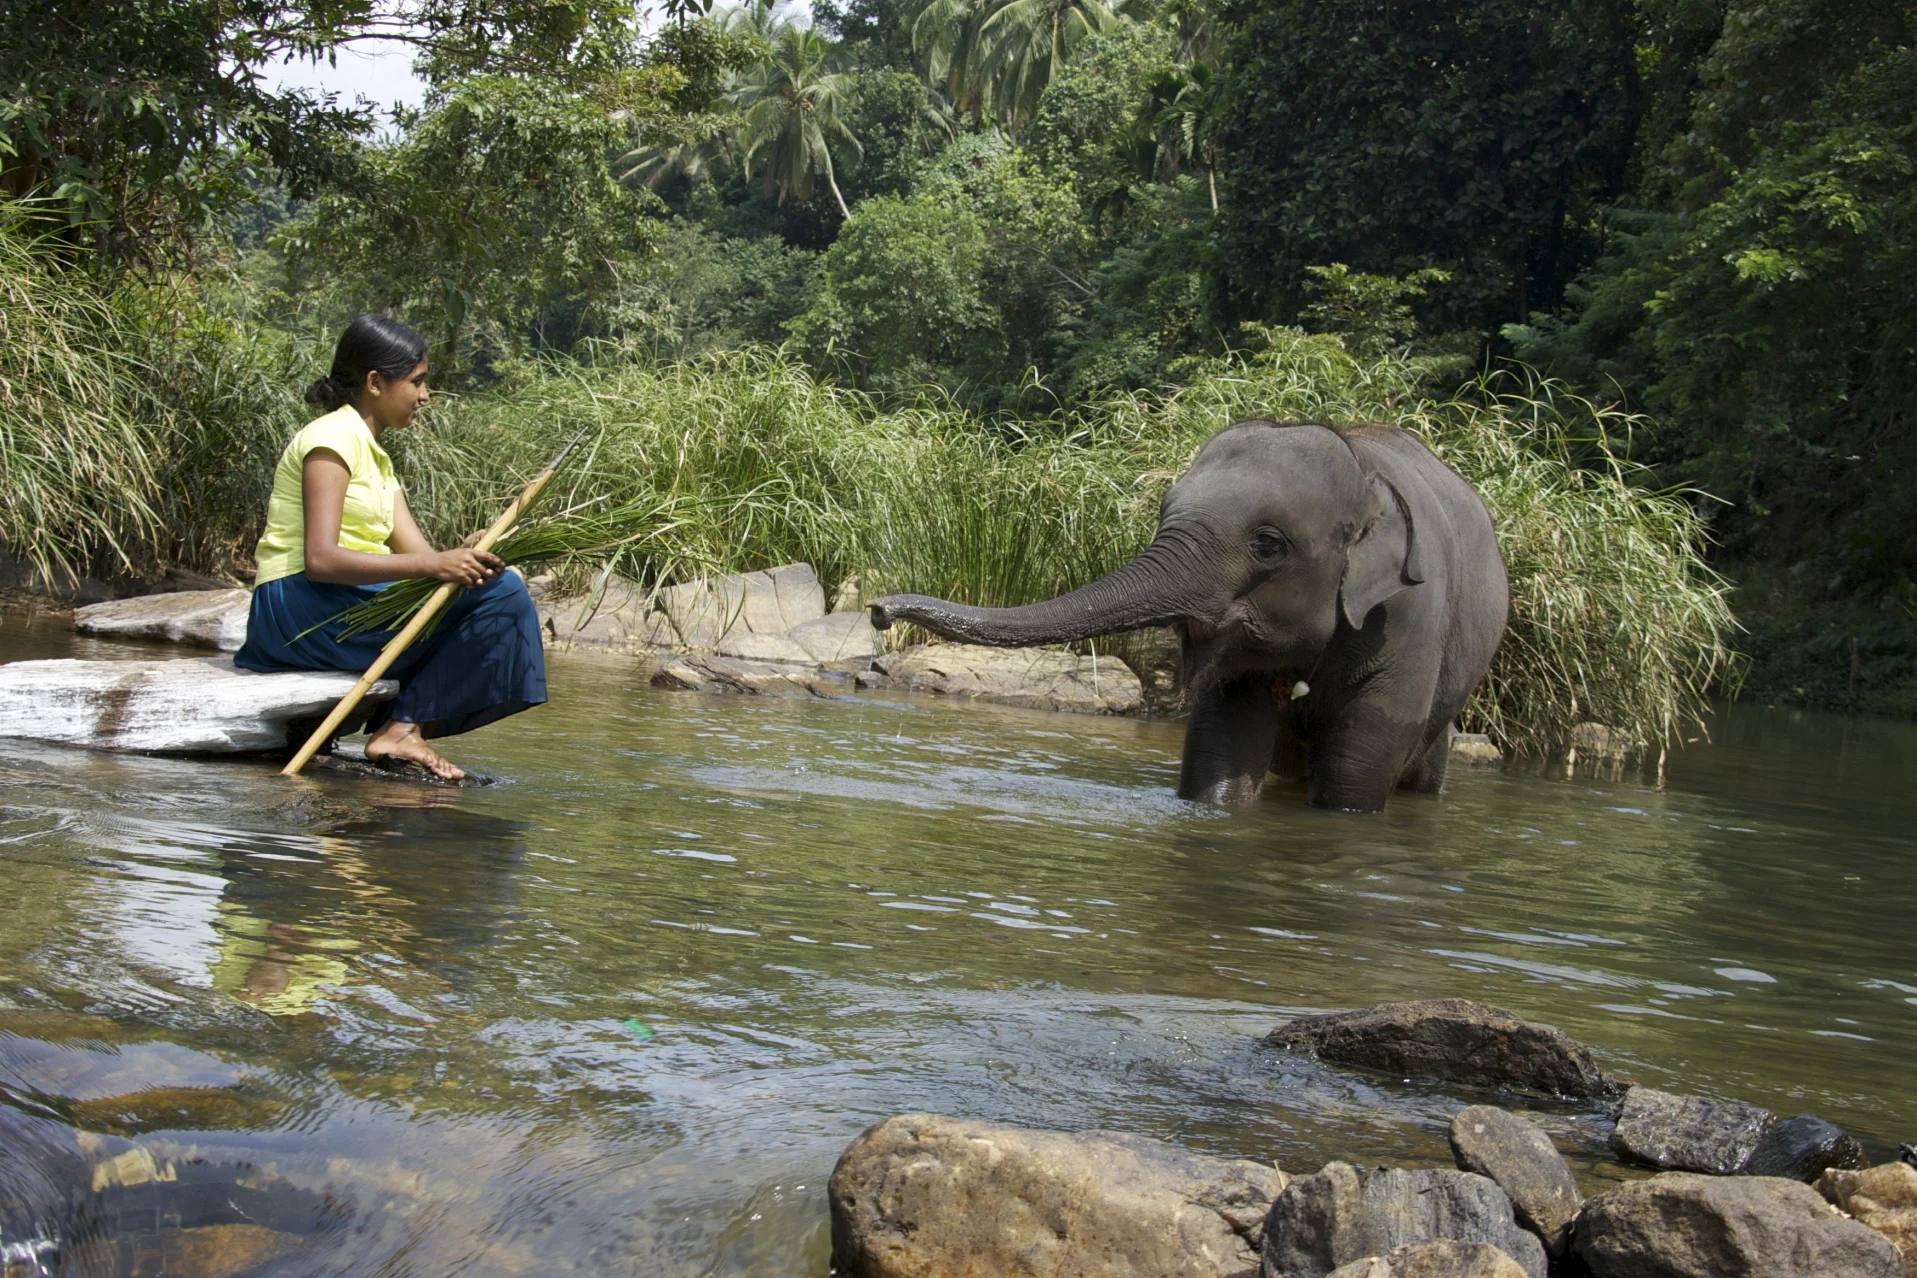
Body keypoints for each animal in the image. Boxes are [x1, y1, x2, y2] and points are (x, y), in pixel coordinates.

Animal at [867, 420, 1508, 813]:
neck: (1362, 467)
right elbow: (1221, 754)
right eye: (1163, 513)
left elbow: (1353, 779)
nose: (877, 611)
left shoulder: (1405, 623)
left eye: (1269, 545)